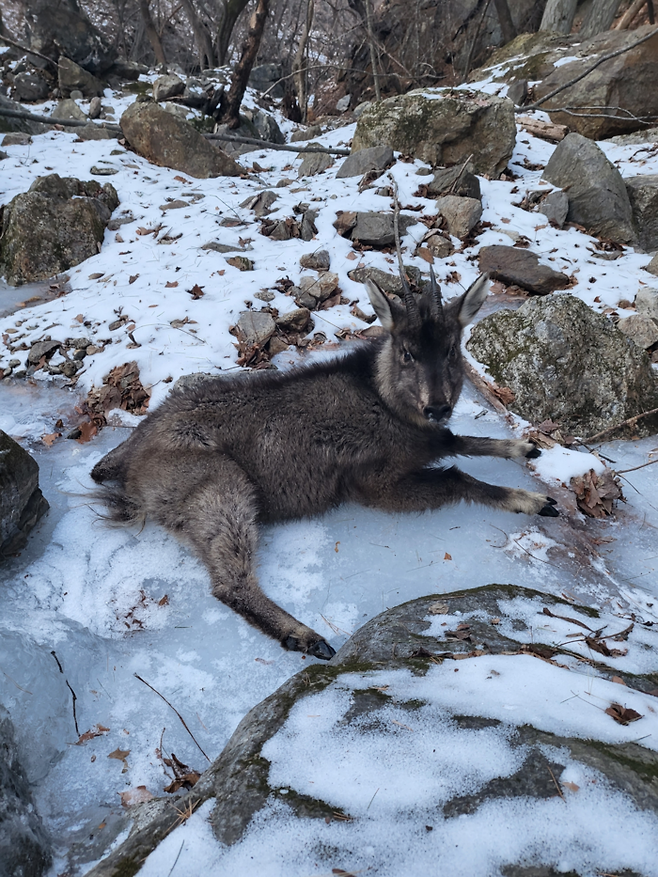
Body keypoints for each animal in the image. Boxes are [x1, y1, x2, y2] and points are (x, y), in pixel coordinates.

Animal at [91, 268, 552, 656]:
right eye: (407, 353)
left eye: (453, 349)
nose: (437, 405)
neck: (382, 398)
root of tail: (130, 468)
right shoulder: (373, 482)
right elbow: (457, 475)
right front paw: (531, 500)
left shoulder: (429, 441)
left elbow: (460, 440)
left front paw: (524, 448)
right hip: (219, 484)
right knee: (230, 583)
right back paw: (305, 636)